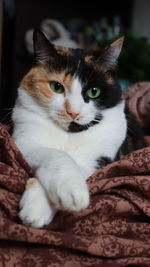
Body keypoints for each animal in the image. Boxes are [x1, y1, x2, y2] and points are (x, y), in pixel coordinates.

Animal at [12, 29, 144, 230]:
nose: (72, 112)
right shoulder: (23, 141)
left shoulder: (99, 159)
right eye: (56, 87)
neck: (69, 134)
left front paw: (60, 198)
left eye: (94, 92)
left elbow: (78, 165)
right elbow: (56, 155)